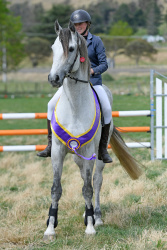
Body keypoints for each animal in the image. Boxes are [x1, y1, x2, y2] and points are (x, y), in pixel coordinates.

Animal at [43, 20, 142, 239]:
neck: (74, 106)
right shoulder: (58, 151)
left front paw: (90, 227)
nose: (53, 79)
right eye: (52, 48)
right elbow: (55, 188)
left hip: (97, 155)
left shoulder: (89, 151)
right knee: (83, 177)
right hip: (76, 156)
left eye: (71, 49)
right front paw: (50, 227)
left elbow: (88, 189)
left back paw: (96, 216)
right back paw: (85, 213)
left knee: (96, 181)